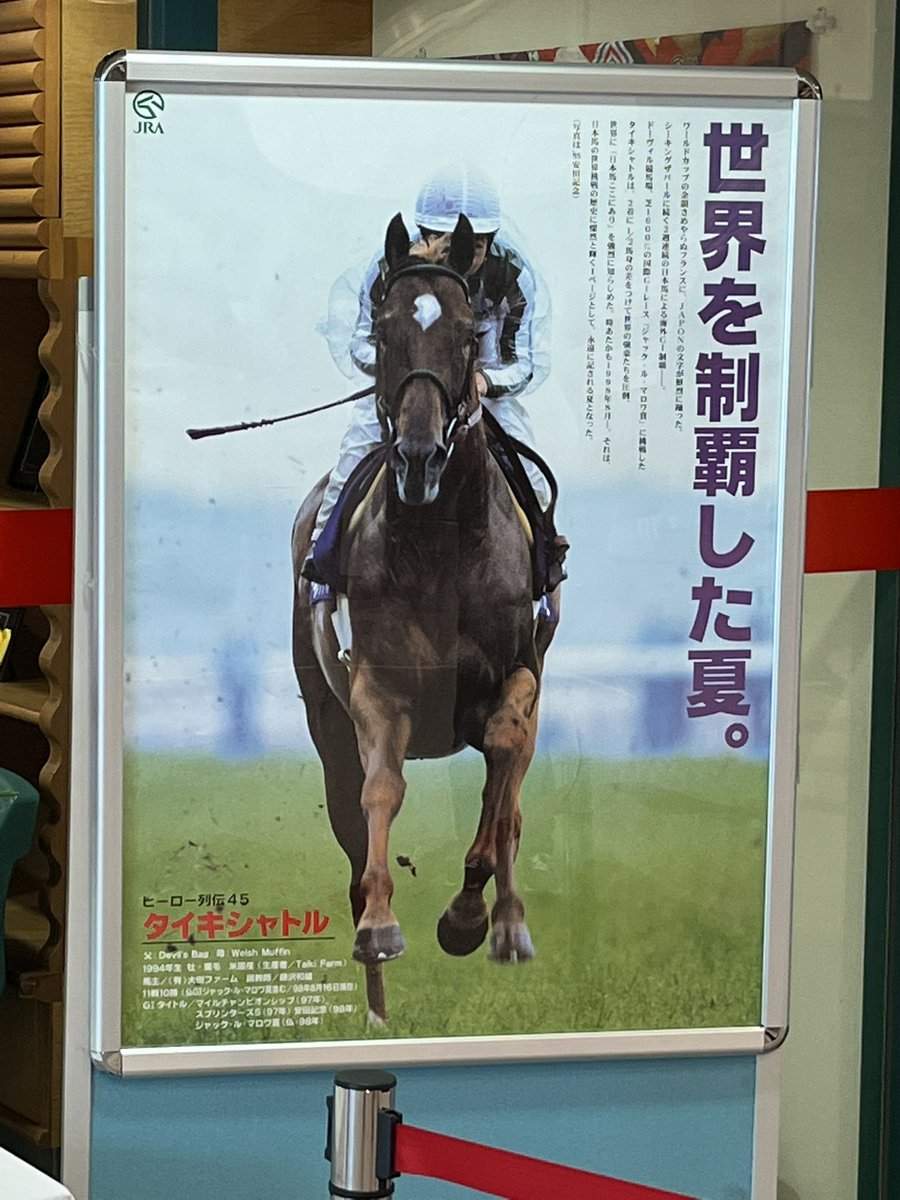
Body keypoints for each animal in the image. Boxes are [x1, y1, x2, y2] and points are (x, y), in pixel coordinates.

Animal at [291, 212, 559, 1023]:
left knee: (511, 796)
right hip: (324, 719)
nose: (416, 456)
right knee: (353, 828)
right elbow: (381, 793)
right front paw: (382, 927)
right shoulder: (376, 688)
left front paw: (480, 919)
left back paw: (501, 918)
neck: (441, 548)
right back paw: (378, 1007)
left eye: (471, 333)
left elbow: (502, 766)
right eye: (383, 330)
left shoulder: (518, 672)